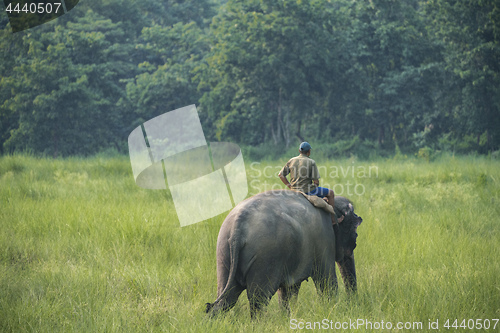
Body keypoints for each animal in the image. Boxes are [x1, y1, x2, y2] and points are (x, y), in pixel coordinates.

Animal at [204, 188, 364, 318]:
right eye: (355, 234)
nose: (352, 303)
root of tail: (238, 225)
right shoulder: (324, 240)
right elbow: (326, 282)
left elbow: (290, 289)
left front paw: (286, 317)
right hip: (265, 256)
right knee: (259, 300)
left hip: (224, 252)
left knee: (227, 298)